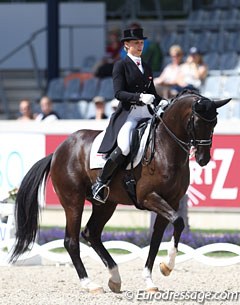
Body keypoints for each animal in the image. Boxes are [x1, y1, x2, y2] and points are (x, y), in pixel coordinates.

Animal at [9, 91, 231, 292]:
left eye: (214, 123)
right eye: (197, 122)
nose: (203, 159)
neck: (164, 147)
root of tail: (57, 151)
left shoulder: (172, 201)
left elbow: (160, 236)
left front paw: (154, 276)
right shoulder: (148, 197)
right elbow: (177, 222)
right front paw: (166, 266)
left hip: (106, 204)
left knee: (91, 233)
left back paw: (115, 278)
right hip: (73, 201)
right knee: (71, 241)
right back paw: (90, 284)